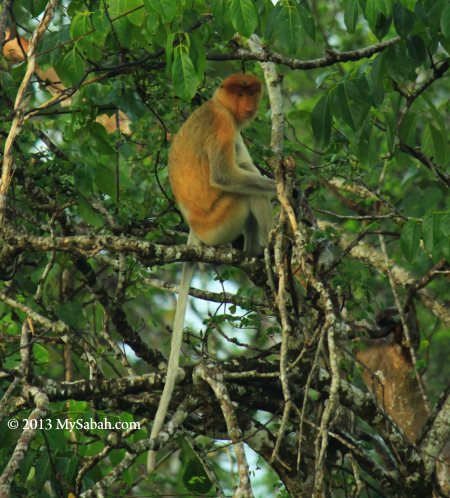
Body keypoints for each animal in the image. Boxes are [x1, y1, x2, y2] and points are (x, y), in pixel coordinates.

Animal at [147, 73, 274, 470]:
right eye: (239, 92)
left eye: (251, 92)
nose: (248, 104)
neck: (220, 106)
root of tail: (196, 229)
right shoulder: (222, 125)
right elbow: (224, 174)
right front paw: (283, 187)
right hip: (222, 217)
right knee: (247, 190)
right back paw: (257, 252)